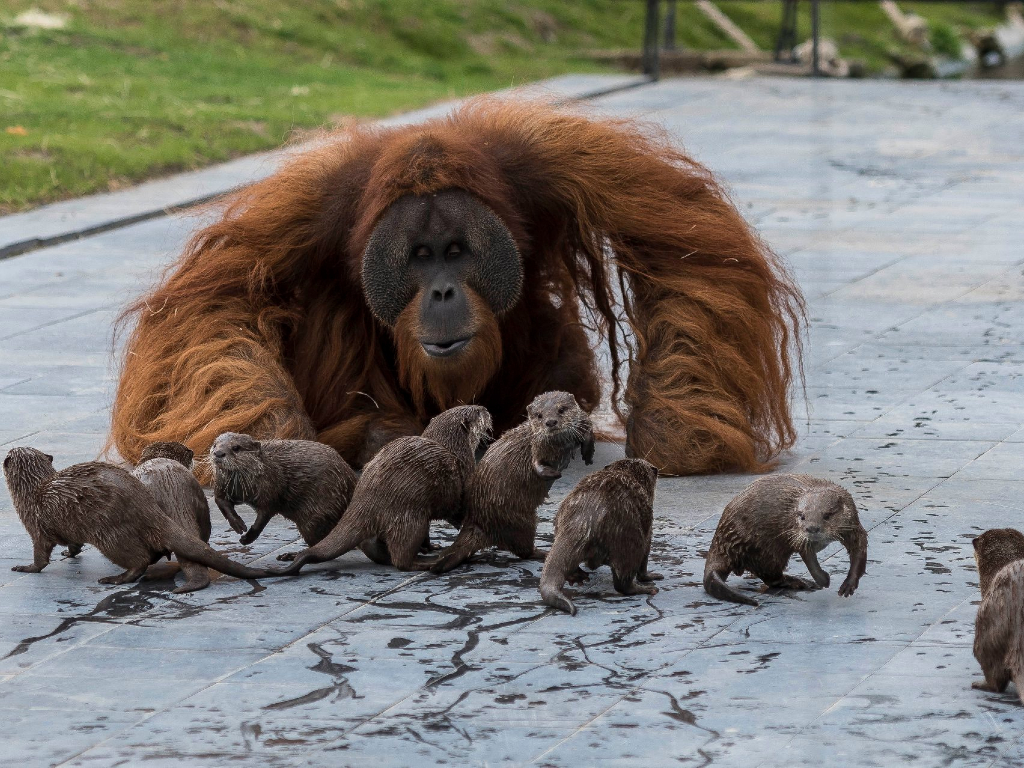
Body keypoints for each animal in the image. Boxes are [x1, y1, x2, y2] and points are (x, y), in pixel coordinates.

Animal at [210, 434, 357, 560]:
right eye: (215, 445)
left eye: (236, 447)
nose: (218, 453)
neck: (244, 488)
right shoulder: (221, 485)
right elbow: (220, 501)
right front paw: (237, 524)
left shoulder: (271, 488)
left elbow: (265, 514)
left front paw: (248, 537)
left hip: (317, 515)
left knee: (317, 540)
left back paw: (292, 555)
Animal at [271, 405, 492, 574]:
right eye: (477, 412)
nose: (486, 408)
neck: (452, 448)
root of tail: (366, 501)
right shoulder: (462, 478)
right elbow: (457, 509)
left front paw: (431, 546)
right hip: (410, 516)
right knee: (401, 559)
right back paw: (427, 562)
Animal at [430, 391, 594, 573]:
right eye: (539, 415)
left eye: (562, 409)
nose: (550, 422)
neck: (561, 446)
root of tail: (478, 520)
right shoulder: (538, 447)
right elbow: (537, 463)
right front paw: (553, 473)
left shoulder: (582, 424)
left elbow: (588, 430)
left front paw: (588, 453)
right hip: (521, 521)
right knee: (524, 550)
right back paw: (544, 552)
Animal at [540, 458, 662, 615]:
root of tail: (585, 519)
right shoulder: (648, 527)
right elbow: (645, 560)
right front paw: (650, 576)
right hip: (630, 539)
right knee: (623, 582)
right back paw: (647, 589)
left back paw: (577, 576)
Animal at [703, 474, 868, 607]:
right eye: (802, 516)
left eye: (827, 515)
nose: (812, 528)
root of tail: (723, 542)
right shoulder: (795, 532)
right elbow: (808, 558)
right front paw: (823, 580)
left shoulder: (853, 524)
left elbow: (859, 549)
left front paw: (849, 584)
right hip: (763, 549)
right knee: (772, 577)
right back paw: (802, 582)